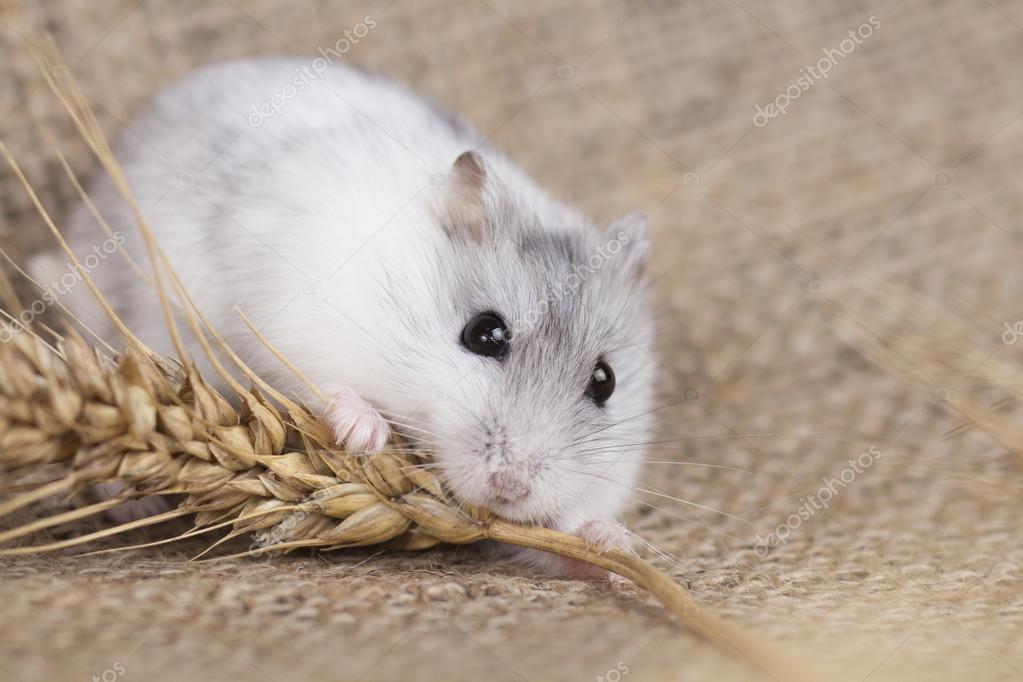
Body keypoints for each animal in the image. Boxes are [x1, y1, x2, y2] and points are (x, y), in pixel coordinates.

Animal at [37, 57, 654, 576]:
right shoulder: (292, 319)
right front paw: (364, 435)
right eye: (485, 334)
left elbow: (554, 540)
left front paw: (611, 544)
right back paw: (127, 501)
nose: (511, 488)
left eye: (605, 382)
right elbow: (320, 384)